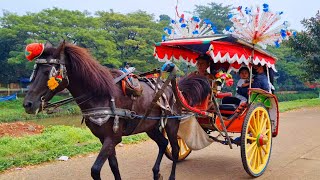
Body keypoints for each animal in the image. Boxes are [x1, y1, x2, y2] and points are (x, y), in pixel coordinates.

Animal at [22, 41, 210, 180]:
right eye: (34, 71)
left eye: (48, 71)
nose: (28, 104)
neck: (100, 94)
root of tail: (174, 89)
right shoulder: (104, 138)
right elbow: (114, 166)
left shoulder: (113, 137)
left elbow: (95, 170)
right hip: (149, 126)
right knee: (163, 143)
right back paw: (156, 173)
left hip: (172, 123)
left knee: (175, 149)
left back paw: (170, 175)